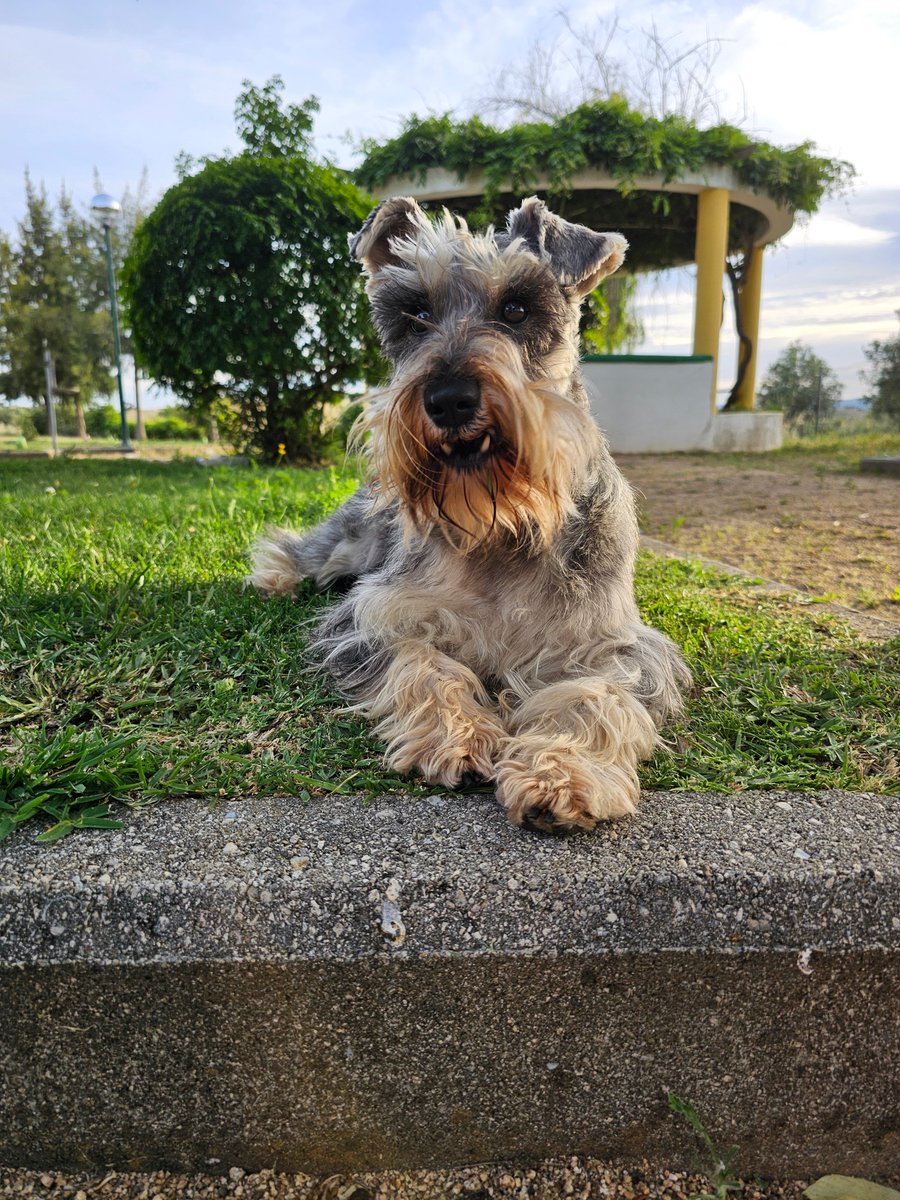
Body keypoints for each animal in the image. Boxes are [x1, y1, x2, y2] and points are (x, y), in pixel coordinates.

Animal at [248, 196, 691, 835]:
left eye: (517, 308)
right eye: (415, 313)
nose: (449, 399)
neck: (501, 528)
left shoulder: (615, 645)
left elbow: (594, 695)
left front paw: (563, 773)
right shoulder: (377, 614)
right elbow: (422, 661)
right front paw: (455, 735)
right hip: (351, 545)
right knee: (305, 549)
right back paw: (276, 576)